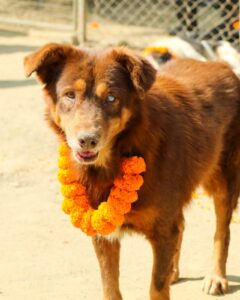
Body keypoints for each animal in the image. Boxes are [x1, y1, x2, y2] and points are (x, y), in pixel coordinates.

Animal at [23, 44, 240, 300]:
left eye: (111, 98)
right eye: (69, 95)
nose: (87, 141)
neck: (120, 153)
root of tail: (219, 64)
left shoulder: (162, 230)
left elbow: (156, 287)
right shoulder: (103, 233)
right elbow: (110, 288)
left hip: (225, 181)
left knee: (222, 232)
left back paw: (216, 277)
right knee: (182, 225)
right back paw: (174, 271)